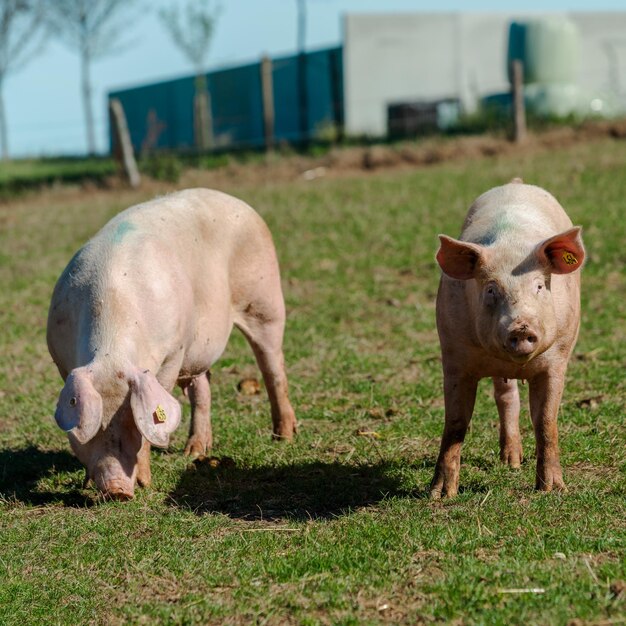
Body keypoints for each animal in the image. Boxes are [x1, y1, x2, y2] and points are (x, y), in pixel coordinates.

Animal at [47, 185, 296, 498]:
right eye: (91, 429)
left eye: (133, 423)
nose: (117, 490)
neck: (111, 352)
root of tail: (237, 201)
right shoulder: (62, 360)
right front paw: (87, 483)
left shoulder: (172, 354)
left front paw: (145, 482)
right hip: (199, 345)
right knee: (203, 386)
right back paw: (195, 452)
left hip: (265, 301)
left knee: (273, 367)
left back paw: (283, 437)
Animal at [428, 179, 584, 498]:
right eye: (490, 290)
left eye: (540, 286)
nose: (521, 327)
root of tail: (516, 183)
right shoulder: (453, 354)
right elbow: (456, 423)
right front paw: (440, 494)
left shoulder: (558, 357)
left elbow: (546, 422)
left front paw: (552, 490)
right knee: (506, 396)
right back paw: (510, 462)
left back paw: (515, 464)